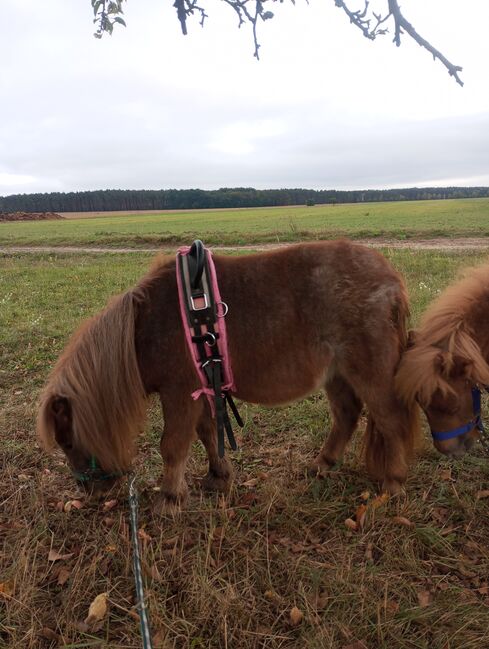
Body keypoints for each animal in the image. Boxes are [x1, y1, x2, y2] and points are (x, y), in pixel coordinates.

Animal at [38, 238, 420, 506]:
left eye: (68, 440)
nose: (93, 493)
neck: (144, 328)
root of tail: (392, 280)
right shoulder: (204, 388)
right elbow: (207, 433)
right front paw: (218, 477)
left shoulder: (179, 394)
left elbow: (172, 445)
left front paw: (170, 498)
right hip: (336, 374)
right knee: (347, 415)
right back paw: (322, 464)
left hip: (369, 371)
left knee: (390, 420)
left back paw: (394, 483)